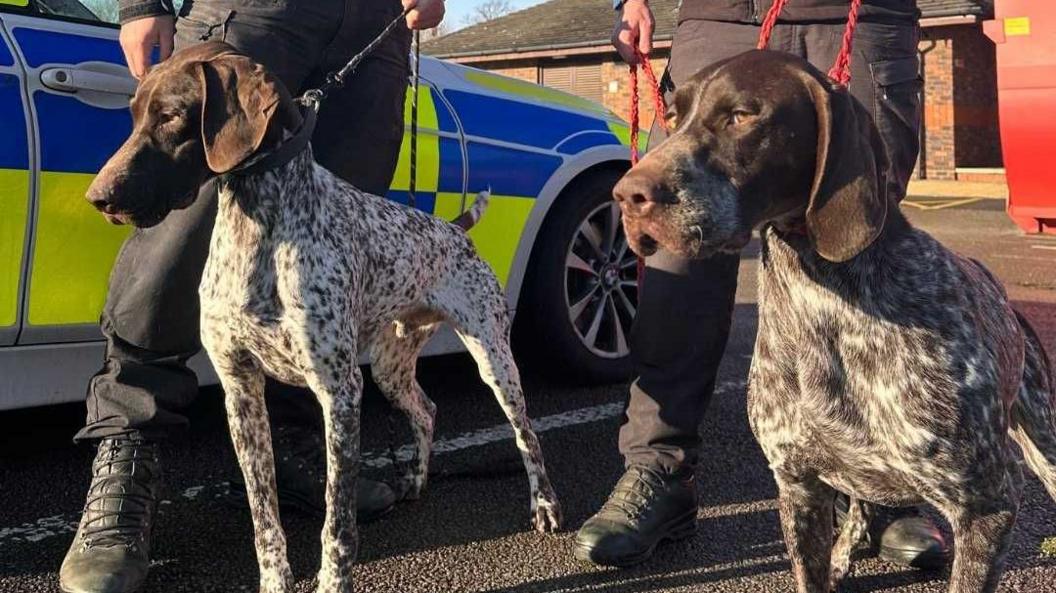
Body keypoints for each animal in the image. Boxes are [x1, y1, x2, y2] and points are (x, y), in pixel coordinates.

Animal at [84, 42, 561, 590]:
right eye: (135, 114)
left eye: (172, 115)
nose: (98, 197)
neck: (259, 226)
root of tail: (453, 228)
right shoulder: (240, 389)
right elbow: (264, 514)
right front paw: (274, 580)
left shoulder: (339, 392)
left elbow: (337, 520)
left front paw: (334, 580)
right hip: (391, 368)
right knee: (425, 410)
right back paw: (417, 479)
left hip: (493, 358)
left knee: (527, 435)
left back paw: (544, 504)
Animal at [612, 50, 1056, 590]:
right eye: (673, 119)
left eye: (741, 116)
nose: (626, 195)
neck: (823, 307)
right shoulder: (799, 487)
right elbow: (812, 570)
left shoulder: (986, 505)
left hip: (1043, 439)